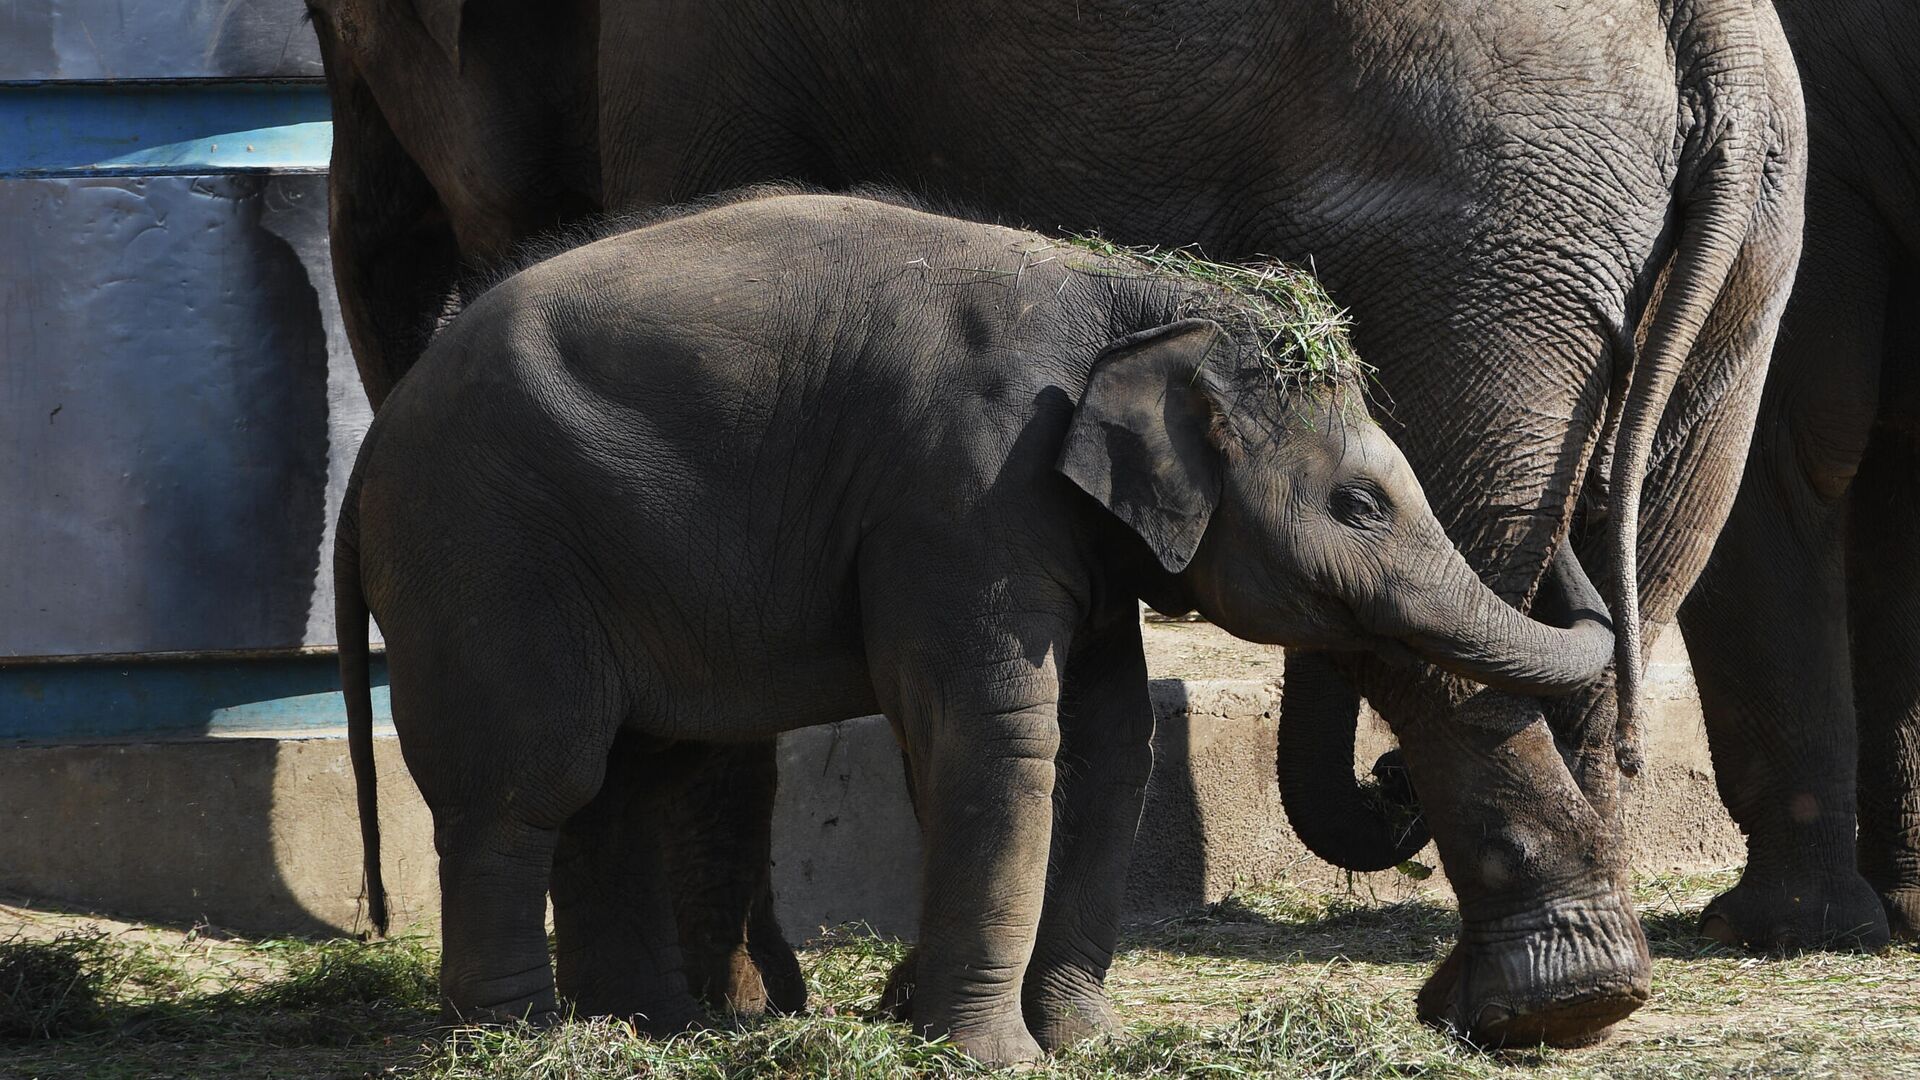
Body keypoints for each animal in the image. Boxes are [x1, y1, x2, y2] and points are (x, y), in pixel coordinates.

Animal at [341, 189, 1605, 1053]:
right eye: (1361, 504)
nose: (1392, 779)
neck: (1129, 294)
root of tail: (376, 434)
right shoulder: (964, 494)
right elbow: (1001, 738)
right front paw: (993, 1057)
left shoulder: (1059, 528)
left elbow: (1112, 745)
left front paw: (1087, 1046)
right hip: (483, 551)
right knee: (532, 780)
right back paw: (519, 1039)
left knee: (629, 775)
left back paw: (655, 1032)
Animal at [595, 2, 1797, 1045]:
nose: (1385, 785)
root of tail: (1723, 48)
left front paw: (744, 1004)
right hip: (1718, 282)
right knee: (1623, 571)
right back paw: (1543, 1002)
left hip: (1483, 248)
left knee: (1465, 589)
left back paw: (1537, 1005)